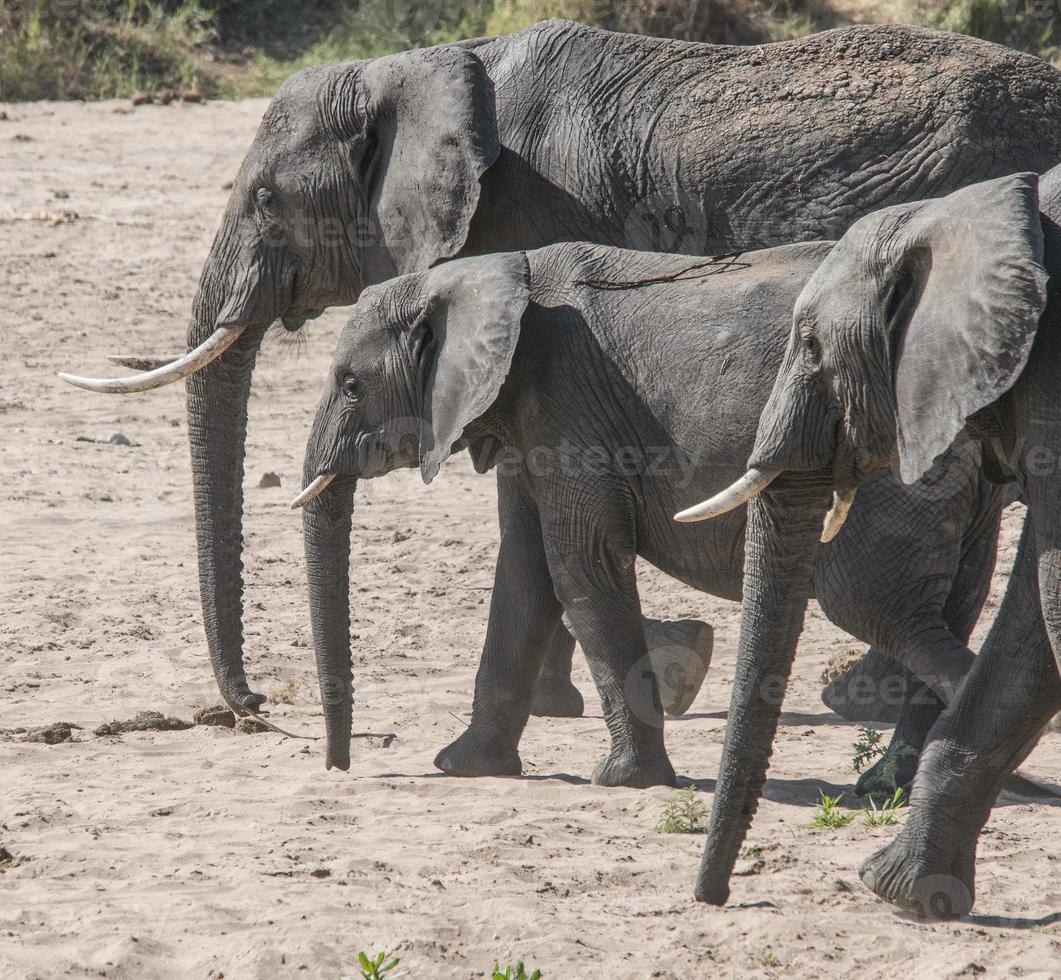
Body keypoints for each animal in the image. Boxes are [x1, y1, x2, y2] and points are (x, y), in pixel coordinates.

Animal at [288, 242, 1010, 789]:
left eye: (350, 385)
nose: (340, 766)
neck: (489, 274)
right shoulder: (530, 423)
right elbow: (523, 571)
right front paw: (464, 767)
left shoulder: (568, 410)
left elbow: (578, 565)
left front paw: (624, 780)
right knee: (946, 610)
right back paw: (886, 788)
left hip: (890, 478)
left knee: (875, 605)